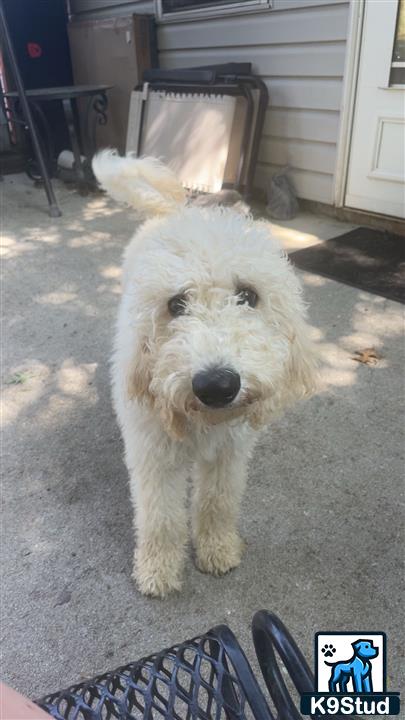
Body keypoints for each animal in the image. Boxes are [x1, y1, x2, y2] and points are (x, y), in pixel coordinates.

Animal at [91, 152, 316, 596]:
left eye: (248, 296)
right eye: (176, 304)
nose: (217, 385)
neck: (204, 421)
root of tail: (173, 212)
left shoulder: (230, 453)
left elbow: (218, 502)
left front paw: (217, 549)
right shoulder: (154, 456)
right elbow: (160, 517)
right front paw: (158, 570)